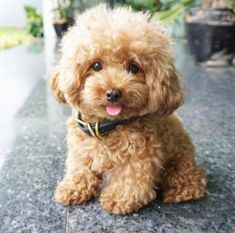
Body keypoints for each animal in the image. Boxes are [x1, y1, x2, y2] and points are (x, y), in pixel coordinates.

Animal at [50, 4, 207, 215]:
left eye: (133, 68)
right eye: (96, 65)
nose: (113, 93)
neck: (105, 127)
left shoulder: (140, 157)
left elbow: (132, 181)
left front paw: (117, 199)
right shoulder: (80, 150)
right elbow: (80, 168)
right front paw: (72, 188)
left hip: (180, 161)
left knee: (192, 178)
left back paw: (182, 190)